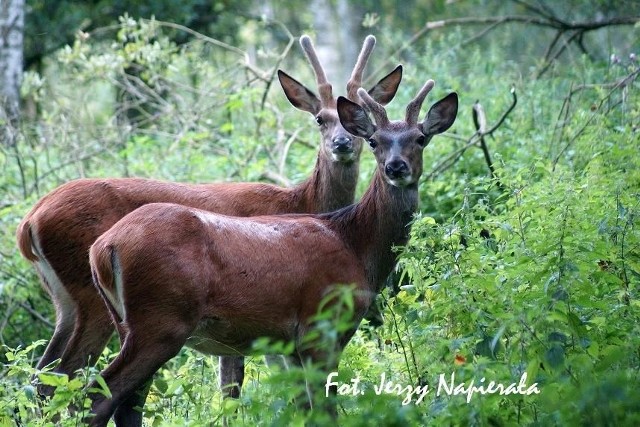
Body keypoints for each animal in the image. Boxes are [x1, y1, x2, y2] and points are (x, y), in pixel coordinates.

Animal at [16, 34, 400, 402]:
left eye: (358, 122)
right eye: (320, 119)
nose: (342, 144)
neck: (300, 200)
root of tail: (29, 222)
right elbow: (235, 387)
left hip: (64, 301)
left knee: (42, 373)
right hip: (91, 295)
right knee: (65, 373)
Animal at [87, 78, 458, 426]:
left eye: (420, 138)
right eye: (374, 141)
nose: (396, 167)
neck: (354, 245)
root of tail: (104, 247)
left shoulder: (290, 345)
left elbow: (303, 409)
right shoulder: (319, 325)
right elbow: (324, 410)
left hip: (126, 321)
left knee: (124, 404)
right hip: (161, 319)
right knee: (99, 396)